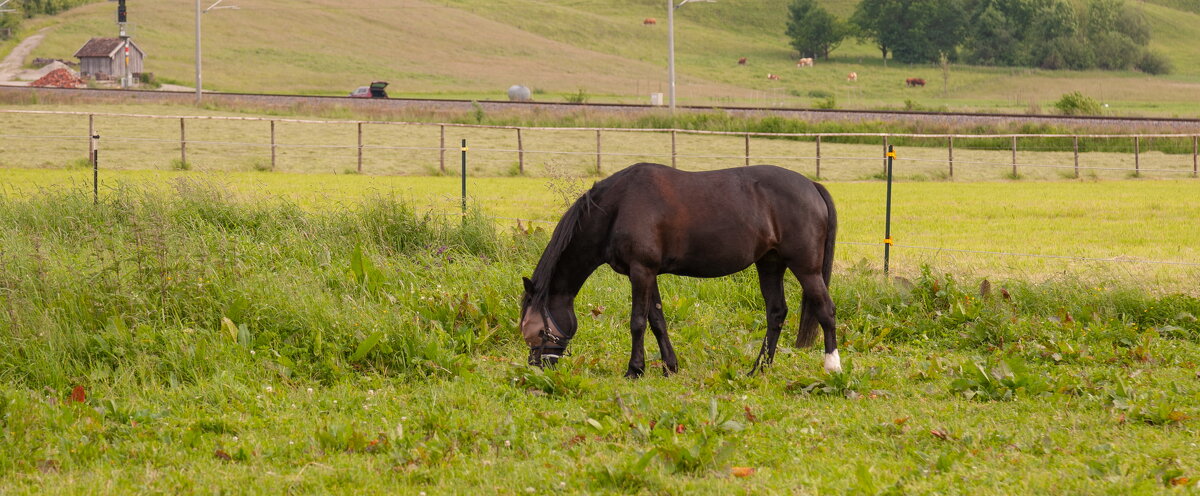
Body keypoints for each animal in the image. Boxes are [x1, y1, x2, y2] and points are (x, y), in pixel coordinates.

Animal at [520, 164, 840, 377]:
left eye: (537, 331)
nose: (538, 367)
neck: (619, 207)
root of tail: (812, 185)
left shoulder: (641, 271)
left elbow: (637, 322)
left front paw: (635, 370)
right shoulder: (648, 273)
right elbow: (657, 320)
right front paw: (670, 367)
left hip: (806, 268)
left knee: (826, 311)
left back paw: (832, 366)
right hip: (770, 264)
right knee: (776, 312)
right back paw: (759, 369)